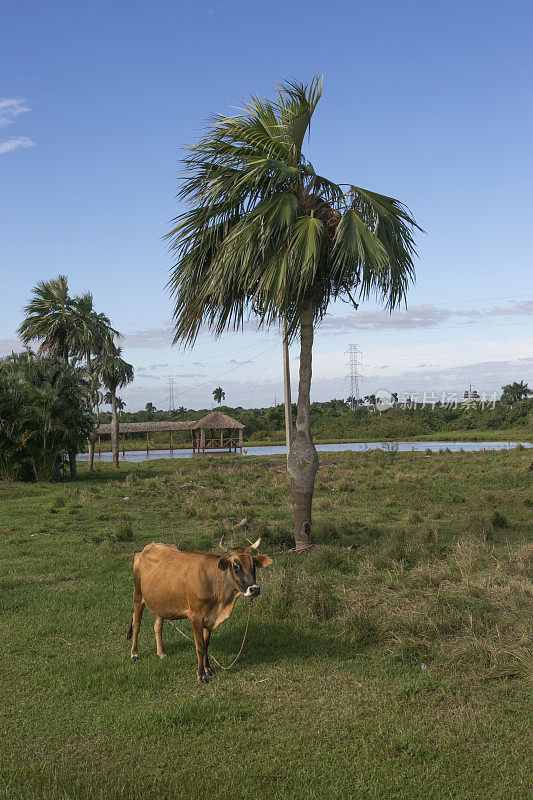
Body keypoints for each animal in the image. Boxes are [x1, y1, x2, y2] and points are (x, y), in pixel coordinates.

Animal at [127, 536, 272, 680]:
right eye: (236, 566)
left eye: (254, 565)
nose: (254, 589)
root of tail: (148, 547)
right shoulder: (195, 616)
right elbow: (200, 646)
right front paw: (201, 674)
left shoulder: (209, 618)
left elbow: (206, 644)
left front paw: (208, 669)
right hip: (137, 595)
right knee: (136, 623)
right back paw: (134, 654)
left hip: (160, 602)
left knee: (157, 625)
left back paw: (161, 653)